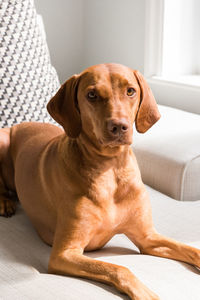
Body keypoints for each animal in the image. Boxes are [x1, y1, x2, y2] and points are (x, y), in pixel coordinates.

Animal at [0, 63, 200, 300]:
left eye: (130, 91)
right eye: (92, 95)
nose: (119, 126)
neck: (110, 170)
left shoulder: (148, 238)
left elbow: (192, 249)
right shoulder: (63, 254)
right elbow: (118, 268)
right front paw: (146, 293)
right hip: (3, 139)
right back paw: (5, 202)